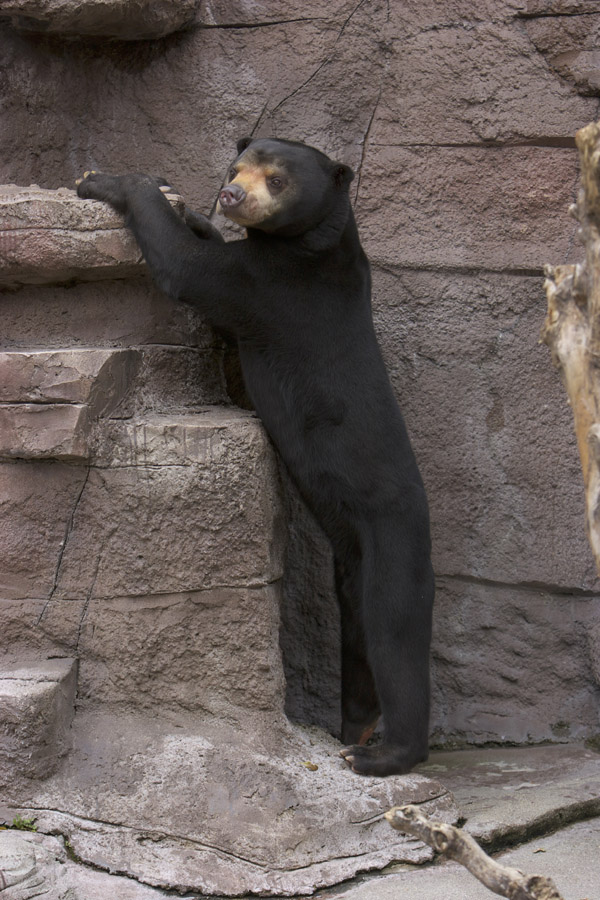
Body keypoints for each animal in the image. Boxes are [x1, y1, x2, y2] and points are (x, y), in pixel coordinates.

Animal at [77, 137, 436, 776]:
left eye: (276, 179)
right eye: (236, 166)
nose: (230, 195)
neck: (311, 242)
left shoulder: (272, 288)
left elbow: (191, 270)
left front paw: (108, 179)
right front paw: (192, 212)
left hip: (391, 540)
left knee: (393, 633)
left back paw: (378, 754)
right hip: (349, 562)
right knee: (357, 638)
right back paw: (354, 727)